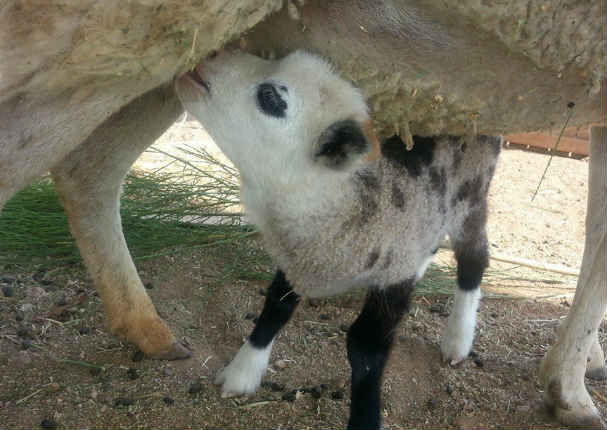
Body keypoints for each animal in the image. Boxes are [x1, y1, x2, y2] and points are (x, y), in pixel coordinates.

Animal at [173, 51, 502, 430]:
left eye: (270, 97)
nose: (210, 57)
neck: (342, 201)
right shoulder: (303, 255)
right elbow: (276, 307)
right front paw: (243, 371)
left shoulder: (394, 272)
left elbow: (365, 348)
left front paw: (365, 418)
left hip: (471, 192)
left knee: (474, 258)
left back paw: (457, 339)